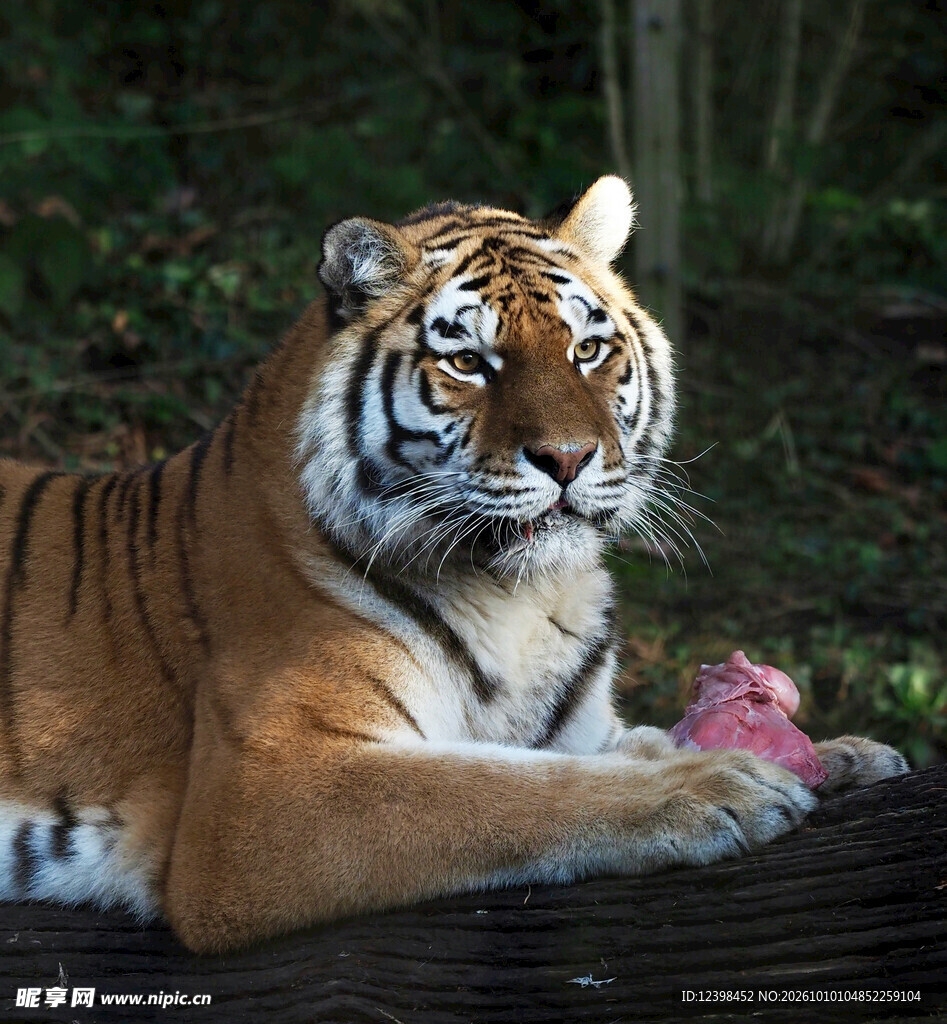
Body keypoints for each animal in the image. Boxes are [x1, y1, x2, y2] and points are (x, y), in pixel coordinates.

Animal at [0, 176, 908, 953]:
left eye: (587, 350)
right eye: (469, 362)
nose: (567, 458)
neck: (524, 599)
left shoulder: (580, 725)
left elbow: (613, 746)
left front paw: (840, 755)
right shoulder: (264, 794)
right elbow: (505, 788)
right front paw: (717, 785)